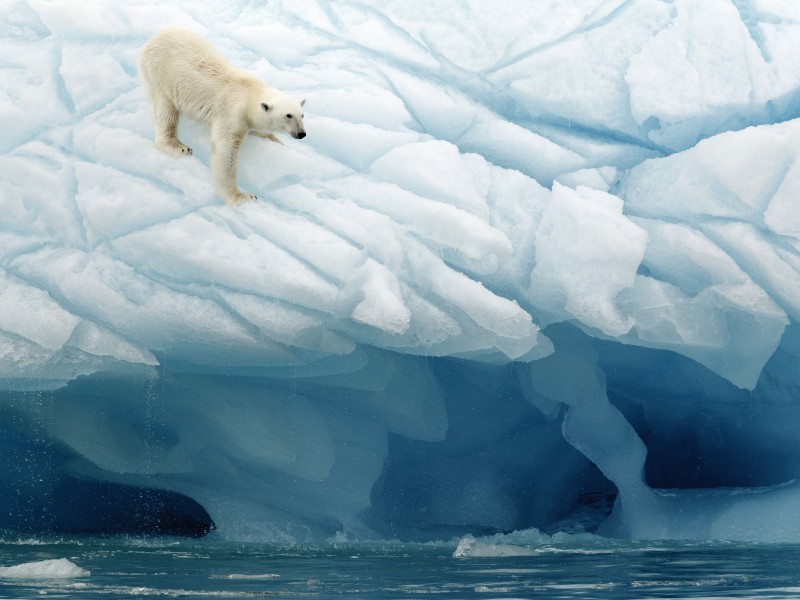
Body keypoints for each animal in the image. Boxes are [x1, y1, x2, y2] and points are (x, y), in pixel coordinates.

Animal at [139, 29, 304, 205]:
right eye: (288, 115)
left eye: (302, 114)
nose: (302, 134)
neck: (249, 93)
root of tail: (151, 40)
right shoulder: (232, 114)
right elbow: (225, 151)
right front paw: (242, 196)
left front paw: (276, 140)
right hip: (160, 74)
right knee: (166, 109)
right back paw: (178, 146)